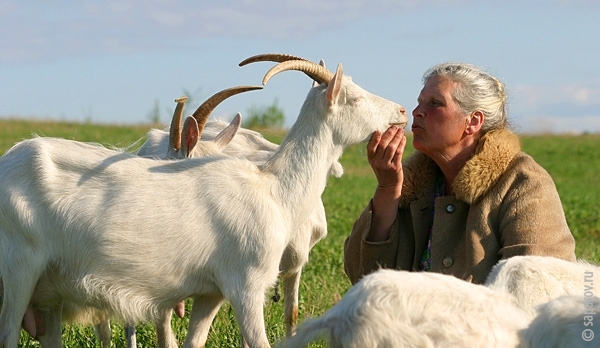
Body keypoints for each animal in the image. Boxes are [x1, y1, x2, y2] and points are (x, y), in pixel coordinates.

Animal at [0, 55, 408, 346]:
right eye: (355, 97)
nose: (402, 111)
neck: (274, 190)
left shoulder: (210, 294)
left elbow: (194, 341)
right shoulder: (246, 285)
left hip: (49, 294)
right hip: (18, 271)